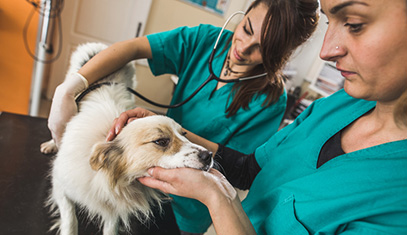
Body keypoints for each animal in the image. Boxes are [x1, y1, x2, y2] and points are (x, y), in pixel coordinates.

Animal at [41, 42, 214, 235]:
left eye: (184, 134)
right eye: (161, 141)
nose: (209, 155)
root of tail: (101, 47)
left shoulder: (114, 207)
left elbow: (111, 227)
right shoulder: (60, 185)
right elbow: (70, 218)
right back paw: (51, 143)